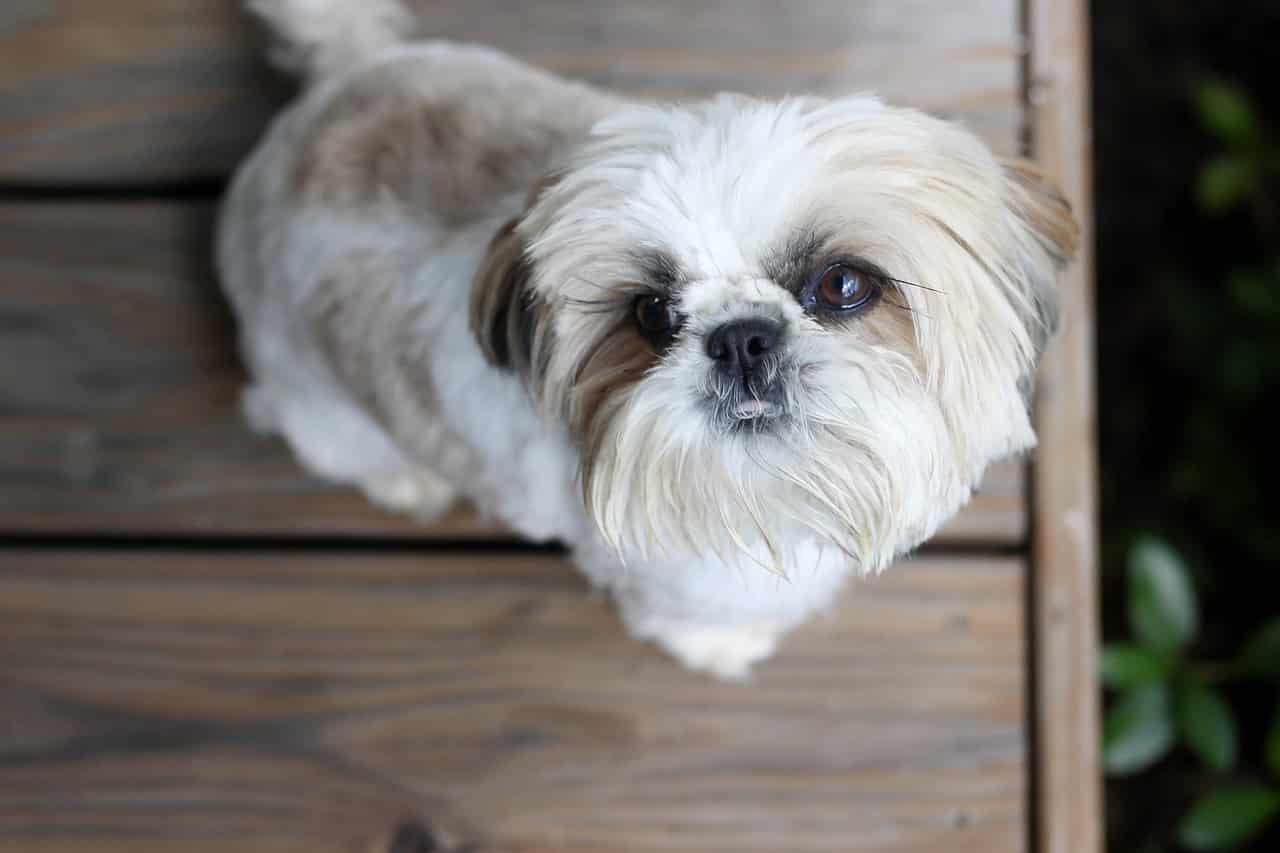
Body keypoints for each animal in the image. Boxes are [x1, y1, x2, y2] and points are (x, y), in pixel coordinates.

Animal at [222, 0, 1080, 676]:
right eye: (652, 315)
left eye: (842, 285)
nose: (741, 338)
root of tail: (334, 85)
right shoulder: (685, 584)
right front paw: (725, 647)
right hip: (316, 407)